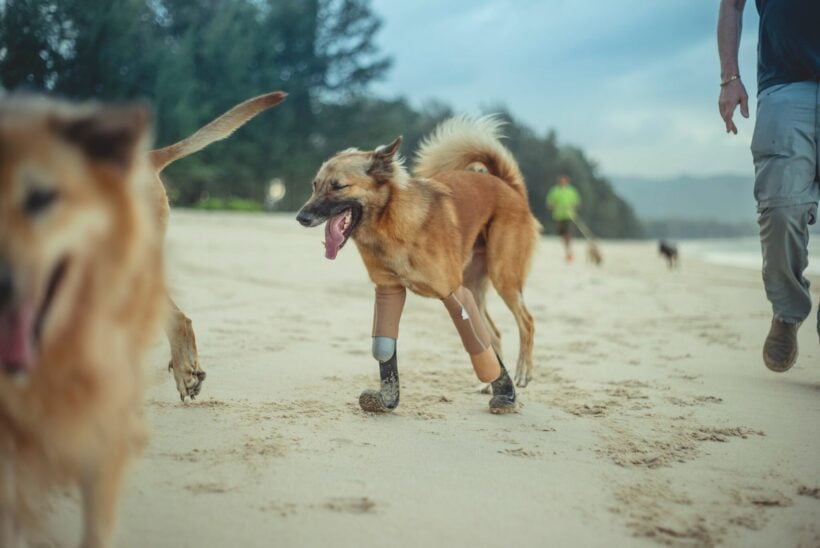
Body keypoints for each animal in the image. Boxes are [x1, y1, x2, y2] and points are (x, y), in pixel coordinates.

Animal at [296, 115, 540, 414]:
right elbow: (384, 348)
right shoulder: (388, 289)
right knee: (493, 332)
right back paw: (489, 385)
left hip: (503, 276)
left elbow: (474, 339)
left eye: (338, 186)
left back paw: (521, 374)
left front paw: (506, 393)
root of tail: (506, 185)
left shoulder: (452, 291)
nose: (301, 217)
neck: (390, 222)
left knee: (526, 322)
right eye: (315, 185)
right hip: (474, 285)